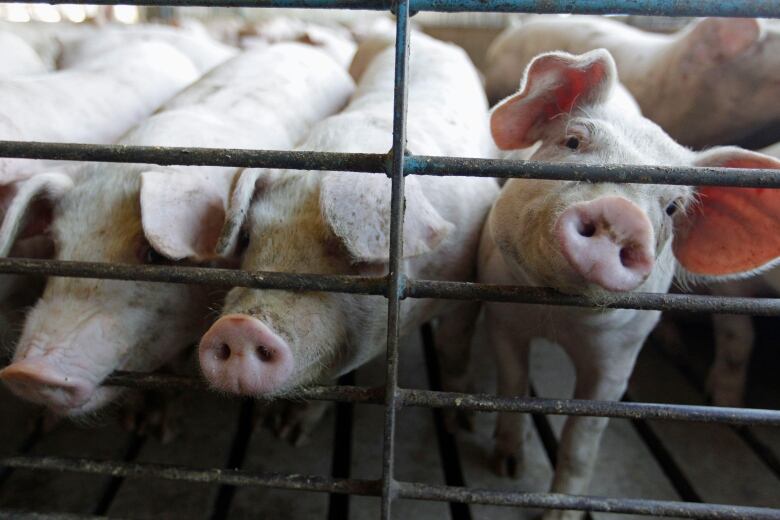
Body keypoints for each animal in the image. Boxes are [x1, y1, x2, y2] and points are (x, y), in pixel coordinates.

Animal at [197, 32, 500, 438]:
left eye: (358, 259)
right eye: (247, 238)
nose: (240, 327)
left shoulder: (467, 284)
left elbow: (454, 345)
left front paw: (463, 425)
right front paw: (286, 431)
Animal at [482, 49, 780, 520]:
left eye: (673, 207)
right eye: (573, 142)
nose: (621, 213)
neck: (557, 319)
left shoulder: (619, 359)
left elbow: (581, 442)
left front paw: (560, 513)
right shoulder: (500, 313)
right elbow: (512, 387)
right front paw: (507, 467)